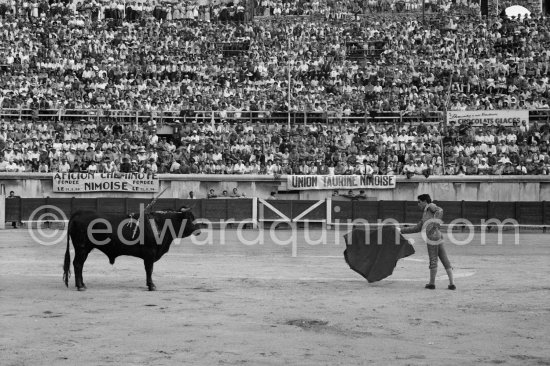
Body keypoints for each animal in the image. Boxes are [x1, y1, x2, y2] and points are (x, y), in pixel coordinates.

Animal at [63, 209, 201, 292]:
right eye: (189, 218)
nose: (199, 230)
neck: (160, 224)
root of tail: (79, 213)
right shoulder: (150, 253)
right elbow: (149, 269)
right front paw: (151, 285)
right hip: (82, 248)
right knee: (77, 264)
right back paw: (80, 286)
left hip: (84, 249)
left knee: (79, 265)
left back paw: (83, 284)